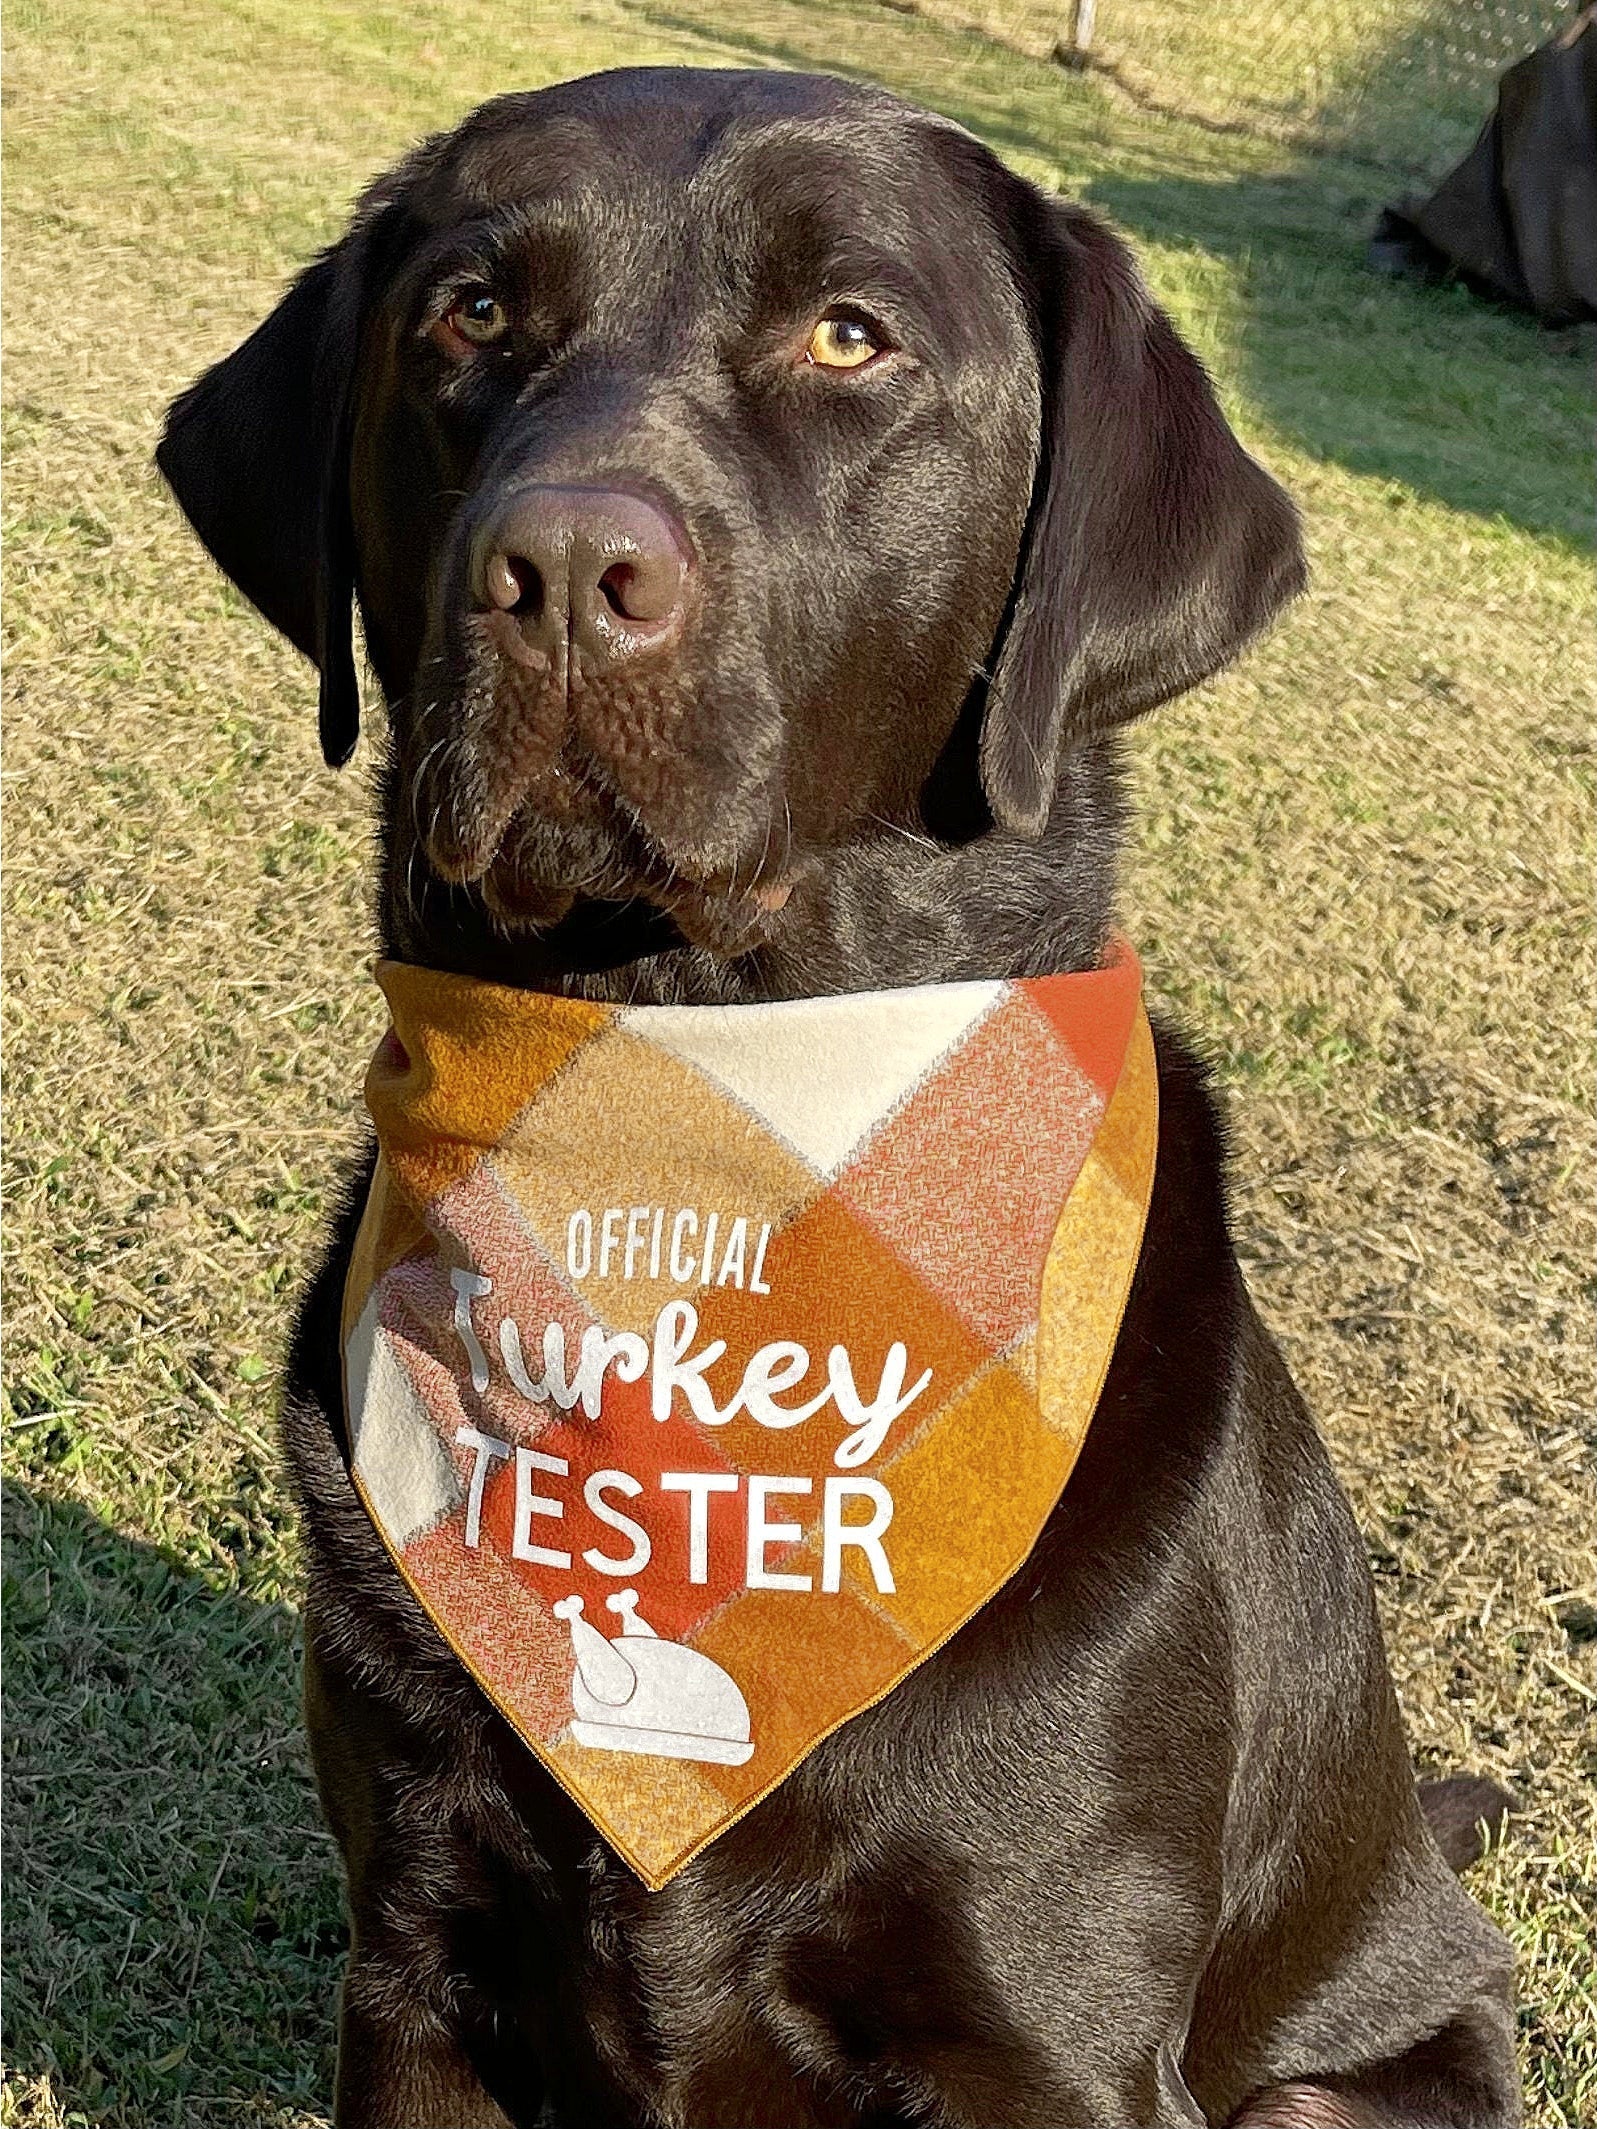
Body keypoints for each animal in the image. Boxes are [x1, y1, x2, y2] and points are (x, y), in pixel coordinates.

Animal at [159, 66, 1524, 2129]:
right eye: (468, 313)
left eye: (848, 336)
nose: (562, 574)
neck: (697, 1094)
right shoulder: (411, 1953)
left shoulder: (1044, 2037)